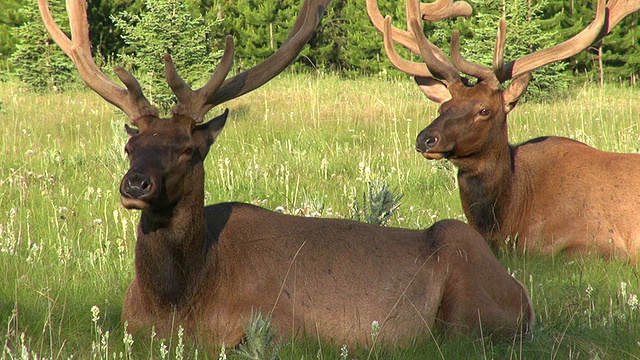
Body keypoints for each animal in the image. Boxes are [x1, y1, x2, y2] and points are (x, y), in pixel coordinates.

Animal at [40, 0, 536, 350]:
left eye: (188, 150)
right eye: (130, 147)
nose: (136, 184)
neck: (178, 301)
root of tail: (524, 297)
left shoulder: (276, 324)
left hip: (464, 295)